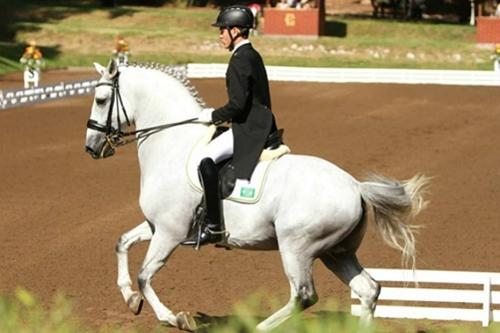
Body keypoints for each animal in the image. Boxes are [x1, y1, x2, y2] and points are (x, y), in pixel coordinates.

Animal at [85, 61, 426, 330]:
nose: (91, 147)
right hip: (336, 251)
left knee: (303, 295)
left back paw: (259, 327)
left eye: (101, 99)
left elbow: (145, 275)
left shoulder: (170, 232)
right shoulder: (157, 226)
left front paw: (175, 318)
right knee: (367, 289)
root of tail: (356, 187)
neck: (173, 145)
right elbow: (121, 243)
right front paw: (131, 299)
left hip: (298, 248)